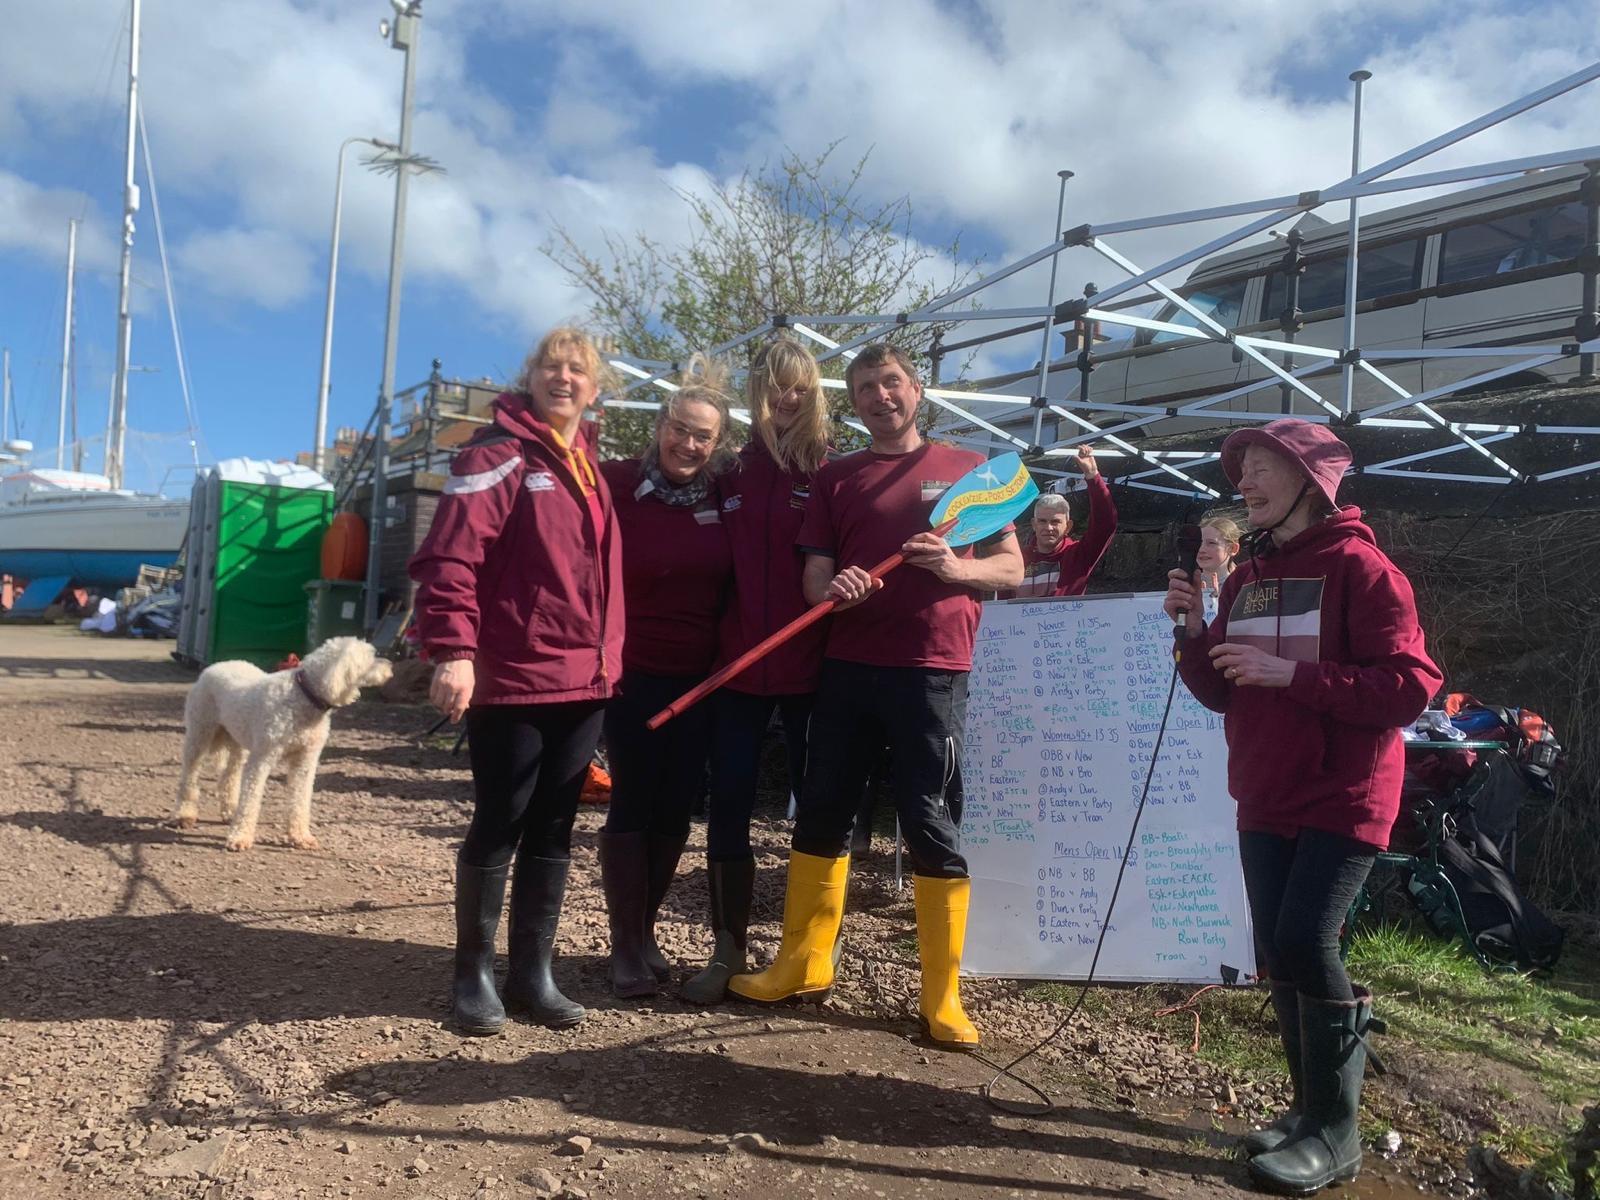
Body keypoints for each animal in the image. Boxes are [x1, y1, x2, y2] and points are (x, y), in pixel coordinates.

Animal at [175, 640, 393, 857]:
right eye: (371, 657)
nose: (391, 666)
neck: (303, 696)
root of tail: (214, 666)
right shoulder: (262, 759)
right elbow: (251, 798)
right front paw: (240, 837)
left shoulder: (305, 762)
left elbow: (300, 800)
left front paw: (300, 837)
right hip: (200, 734)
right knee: (189, 776)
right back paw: (184, 814)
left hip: (238, 743)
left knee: (230, 776)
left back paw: (230, 811)